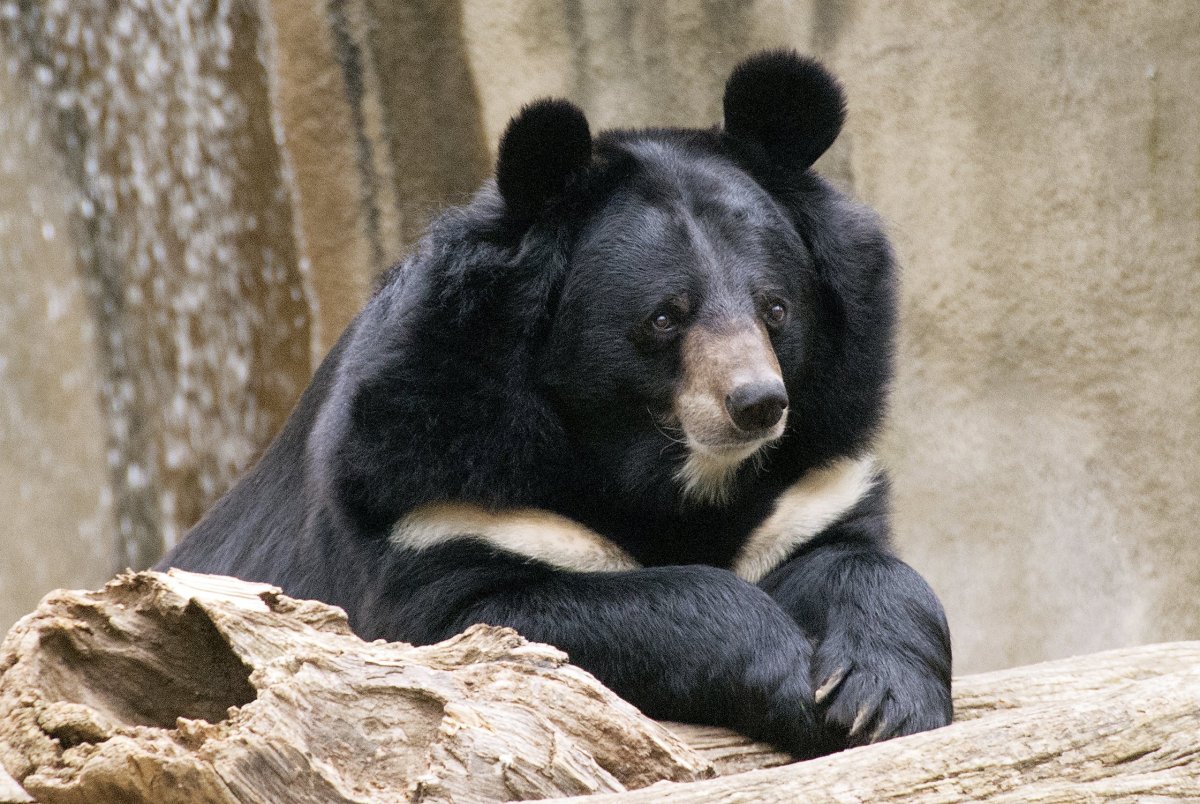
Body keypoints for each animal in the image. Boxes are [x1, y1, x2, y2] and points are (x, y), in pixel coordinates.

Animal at [159, 50, 952, 758]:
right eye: (664, 317)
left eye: (776, 308)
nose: (757, 404)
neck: (668, 475)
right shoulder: (432, 494)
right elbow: (526, 618)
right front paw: (795, 686)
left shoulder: (811, 485)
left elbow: (865, 566)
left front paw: (876, 700)